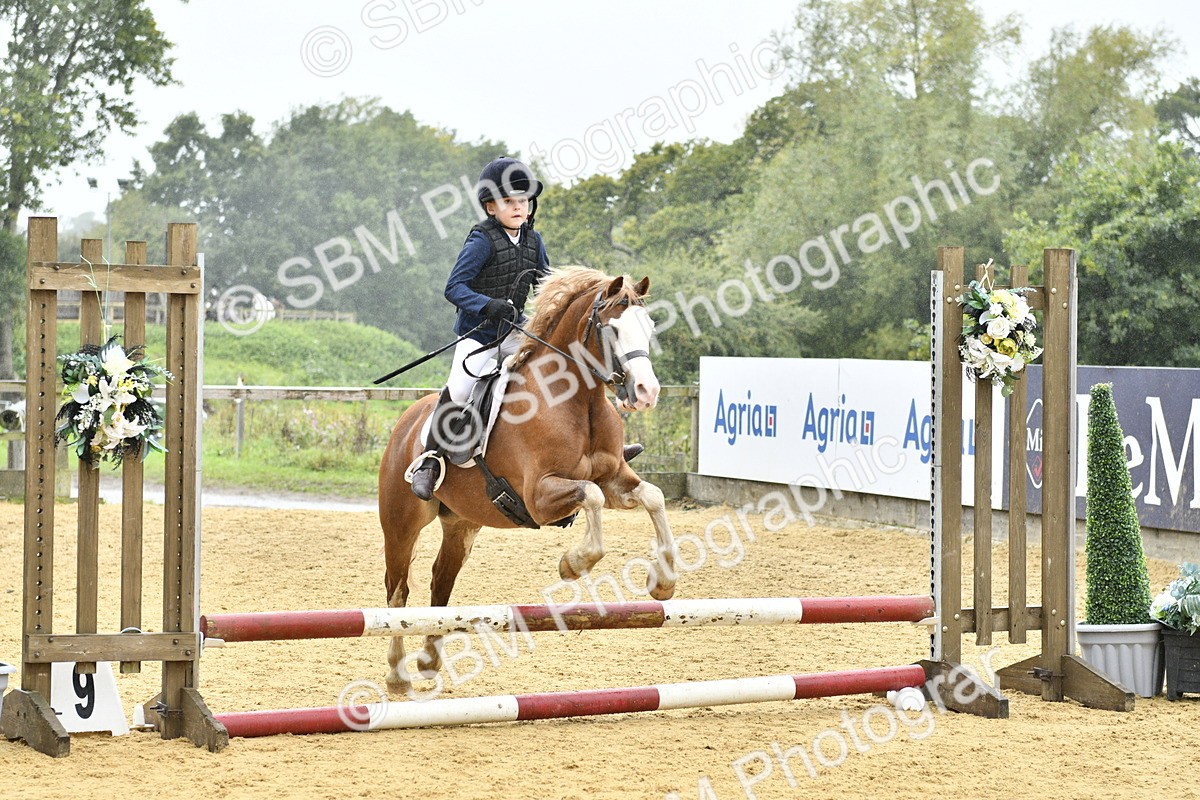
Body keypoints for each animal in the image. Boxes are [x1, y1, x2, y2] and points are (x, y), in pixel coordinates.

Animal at [377, 266, 678, 694]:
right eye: (613, 330)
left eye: (648, 326)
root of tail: (406, 419)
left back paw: (430, 661)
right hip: (401, 523)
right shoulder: (539, 496)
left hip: (462, 524)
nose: (646, 392)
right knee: (398, 589)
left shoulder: (615, 478)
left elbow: (653, 496)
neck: (576, 400)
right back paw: (396, 673)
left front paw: (664, 582)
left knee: (441, 582)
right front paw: (573, 564)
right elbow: (591, 497)